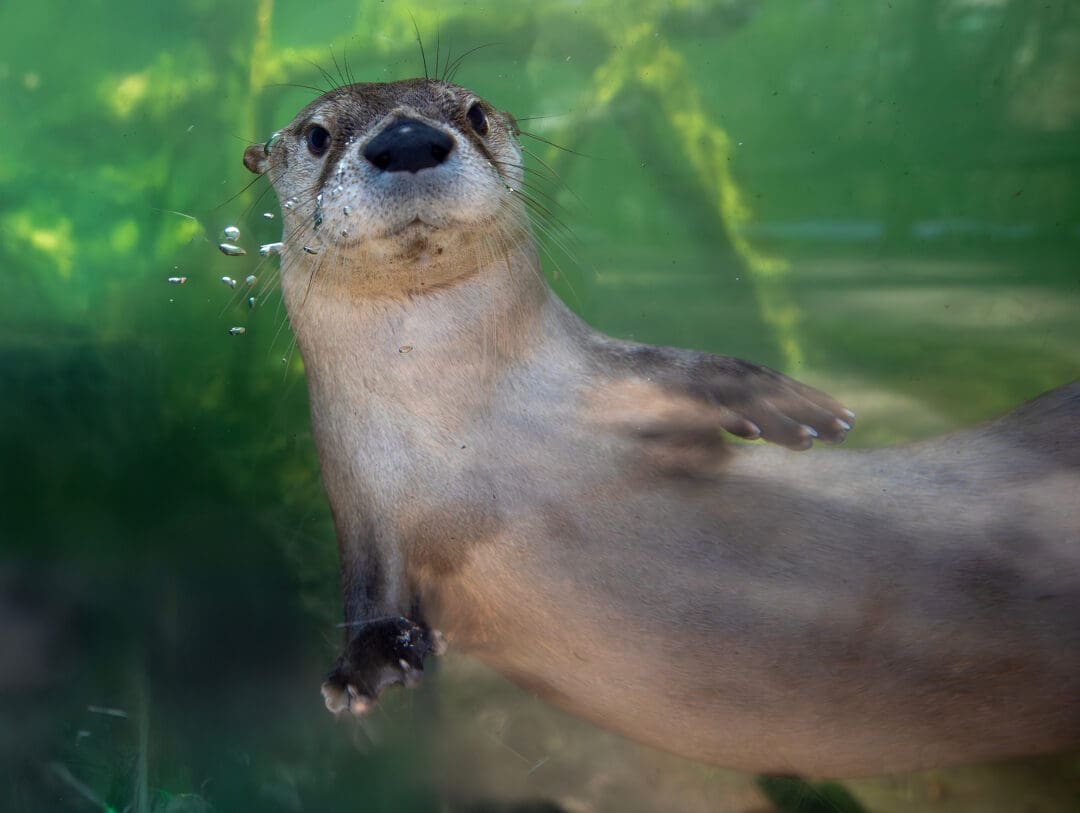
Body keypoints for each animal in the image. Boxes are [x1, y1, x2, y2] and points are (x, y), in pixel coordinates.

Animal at [243, 78, 1080, 777]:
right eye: (317, 134)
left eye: (473, 111)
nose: (409, 138)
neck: (457, 424)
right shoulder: (362, 497)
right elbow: (367, 587)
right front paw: (365, 668)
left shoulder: (606, 378)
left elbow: (681, 367)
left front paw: (794, 403)